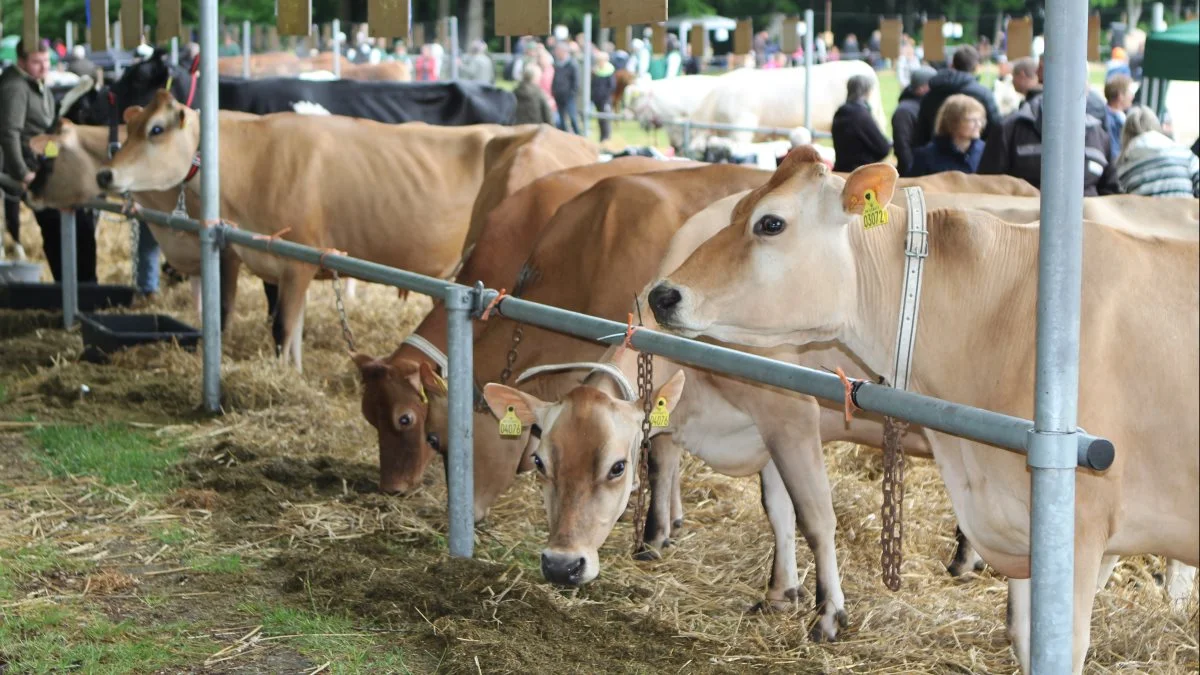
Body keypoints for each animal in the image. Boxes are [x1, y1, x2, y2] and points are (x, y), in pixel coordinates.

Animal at [648, 148, 1200, 672]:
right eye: (737, 210)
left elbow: (813, 516)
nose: (662, 294)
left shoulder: (1078, 534)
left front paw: (826, 615)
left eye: (771, 223)